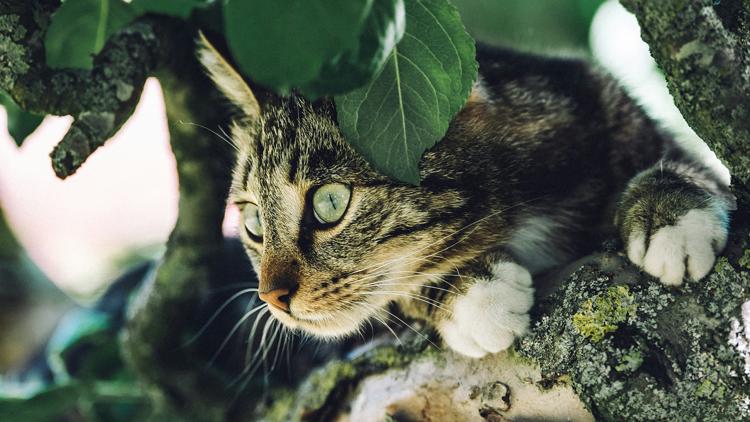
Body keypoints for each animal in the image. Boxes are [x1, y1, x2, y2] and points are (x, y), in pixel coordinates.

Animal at [198, 38, 736, 358]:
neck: (517, 214)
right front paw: (470, 294)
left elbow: (683, 160)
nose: (271, 296)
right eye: (253, 222)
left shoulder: (600, 101)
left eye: (330, 203)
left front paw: (671, 215)